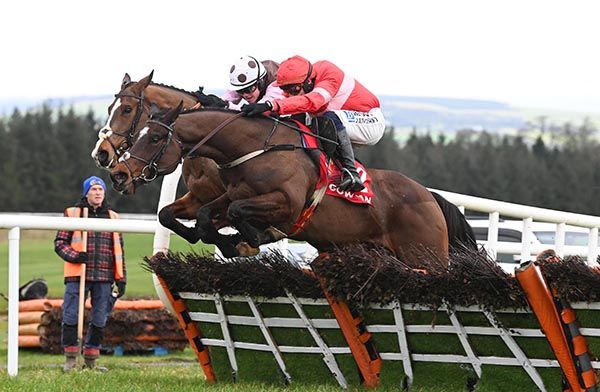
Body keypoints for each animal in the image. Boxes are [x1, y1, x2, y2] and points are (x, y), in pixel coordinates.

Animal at [110, 102, 476, 264]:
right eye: (138, 133)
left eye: (155, 137)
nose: (119, 173)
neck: (253, 148)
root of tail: (428, 195)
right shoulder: (226, 196)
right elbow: (187, 215)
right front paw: (230, 241)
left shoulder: (286, 204)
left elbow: (238, 213)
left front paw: (248, 240)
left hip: (425, 255)